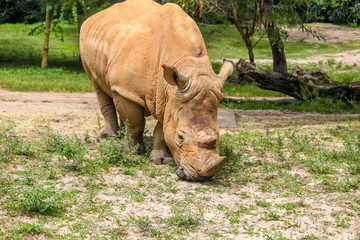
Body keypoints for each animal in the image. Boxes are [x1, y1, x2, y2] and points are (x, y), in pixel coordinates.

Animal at [79, 0, 233, 180]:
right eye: (180, 137)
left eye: (218, 135)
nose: (202, 177)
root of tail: (96, 15)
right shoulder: (133, 89)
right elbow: (136, 122)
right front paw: (132, 151)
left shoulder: (171, 97)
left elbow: (162, 128)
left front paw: (160, 160)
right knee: (99, 86)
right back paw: (112, 136)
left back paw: (121, 135)